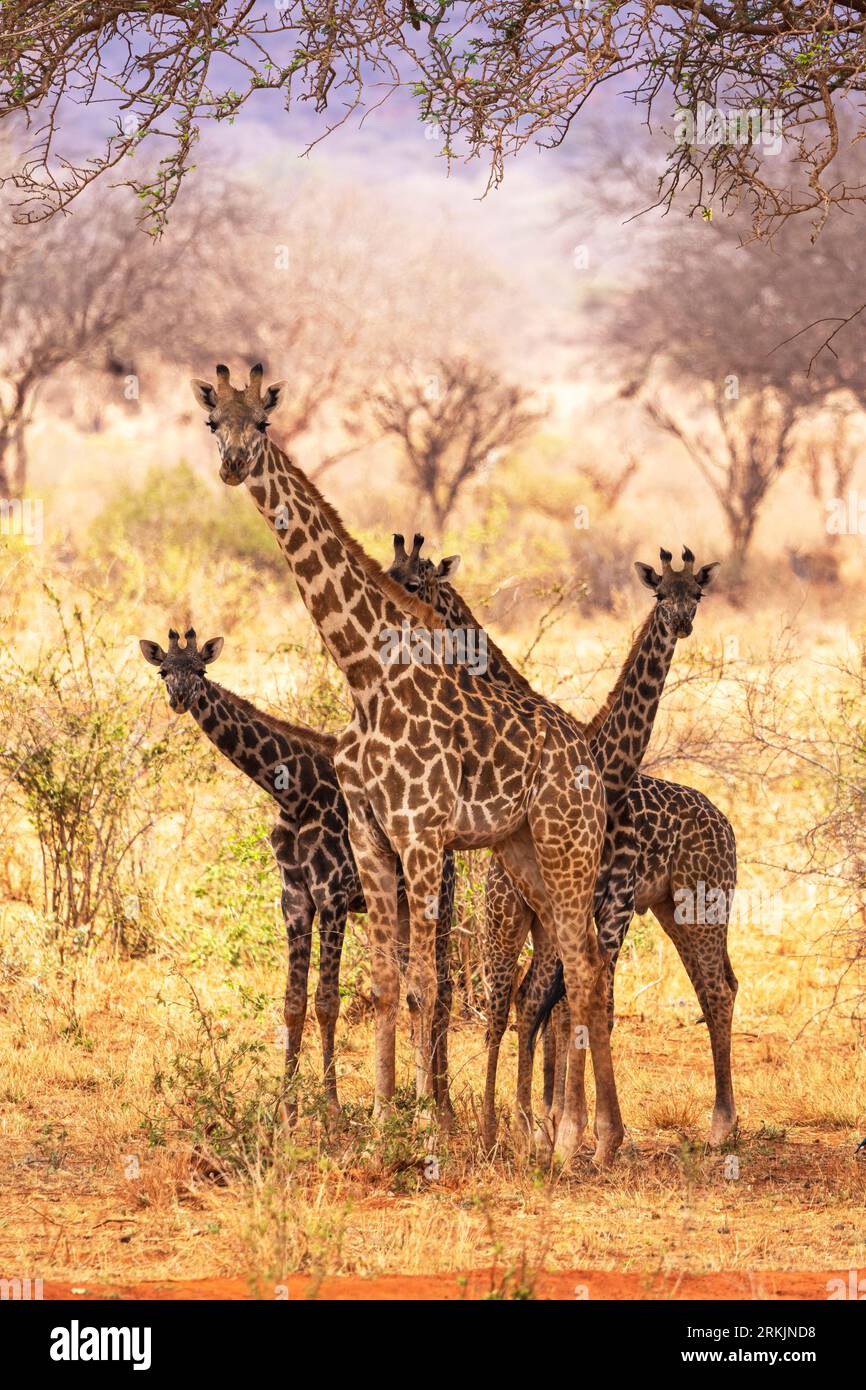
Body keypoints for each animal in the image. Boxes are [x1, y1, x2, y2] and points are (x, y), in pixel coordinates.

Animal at [139, 628, 458, 1117]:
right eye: (163, 671)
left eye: (201, 671)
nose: (180, 698)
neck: (294, 794)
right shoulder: (294, 899)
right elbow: (293, 1002)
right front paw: (284, 1109)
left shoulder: (333, 895)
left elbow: (326, 1002)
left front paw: (332, 1112)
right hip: (401, 905)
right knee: (415, 988)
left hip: (441, 896)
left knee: (443, 988)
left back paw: (444, 1108)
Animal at [190, 364, 622, 1167]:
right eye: (211, 423)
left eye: (261, 423)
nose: (233, 466)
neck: (365, 672)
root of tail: (586, 754)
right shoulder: (370, 833)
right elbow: (387, 984)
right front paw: (379, 1121)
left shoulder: (423, 832)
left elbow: (425, 983)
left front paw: (428, 1129)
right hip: (524, 853)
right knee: (584, 964)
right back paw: (598, 1138)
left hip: (567, 841)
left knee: (583, 967)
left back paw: (571, 1141)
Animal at [391, 536, 739, 1145]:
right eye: (660, 593)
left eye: (696, 593)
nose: (682, 622)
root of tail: (729, 830)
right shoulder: (580, 908)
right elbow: (558, 1003)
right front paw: (559, 1126)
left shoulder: (606, 903)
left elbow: (578, 1003)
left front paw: (568, 1127)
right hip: (653, 913)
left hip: (700, 907)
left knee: (716, 991)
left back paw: (720, 1125)